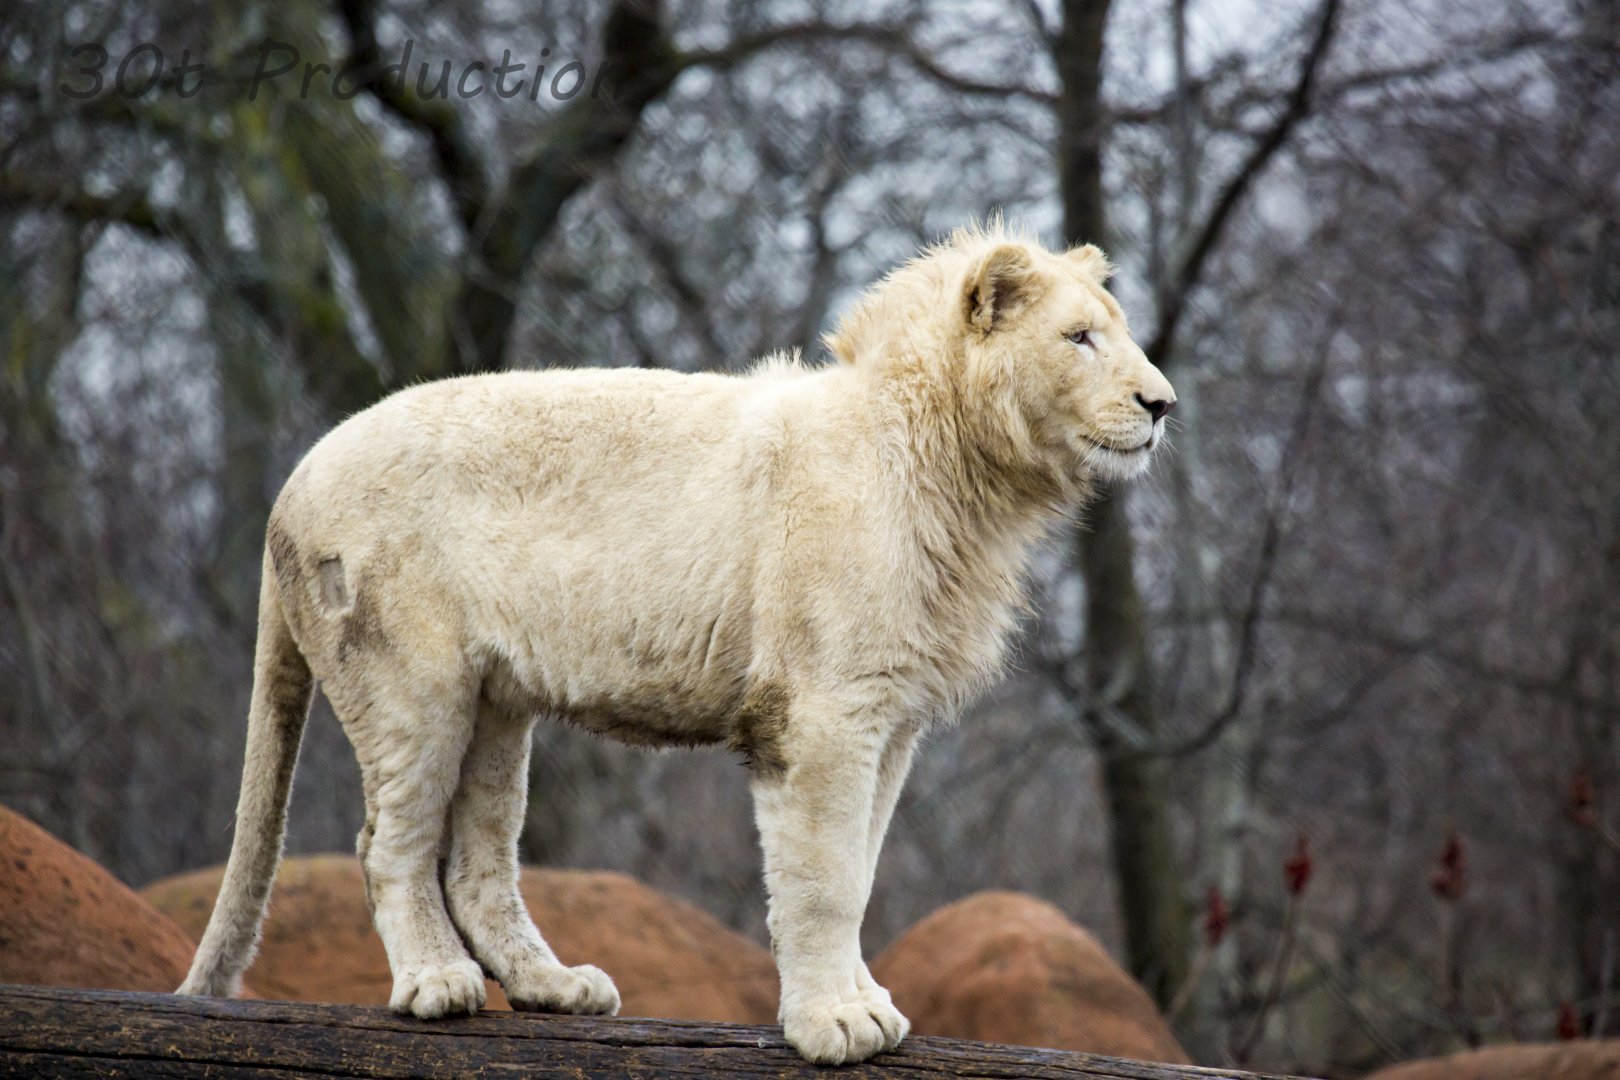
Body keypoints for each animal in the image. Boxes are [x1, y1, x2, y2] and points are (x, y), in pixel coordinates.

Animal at [176, 224, 1175, 1065]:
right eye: (1080, 337)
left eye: (1117, 333)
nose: (1162, 402)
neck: (965, 482)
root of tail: (292, 480)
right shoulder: (821, 710)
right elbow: (823, 878)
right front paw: (833, 1024)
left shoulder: (891, 718)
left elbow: (858, 869)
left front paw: (866, 1006)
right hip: (410, 683)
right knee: (388, 840)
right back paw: (437, 983)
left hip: (496, 702)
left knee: (478, 860)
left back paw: (555, 987)